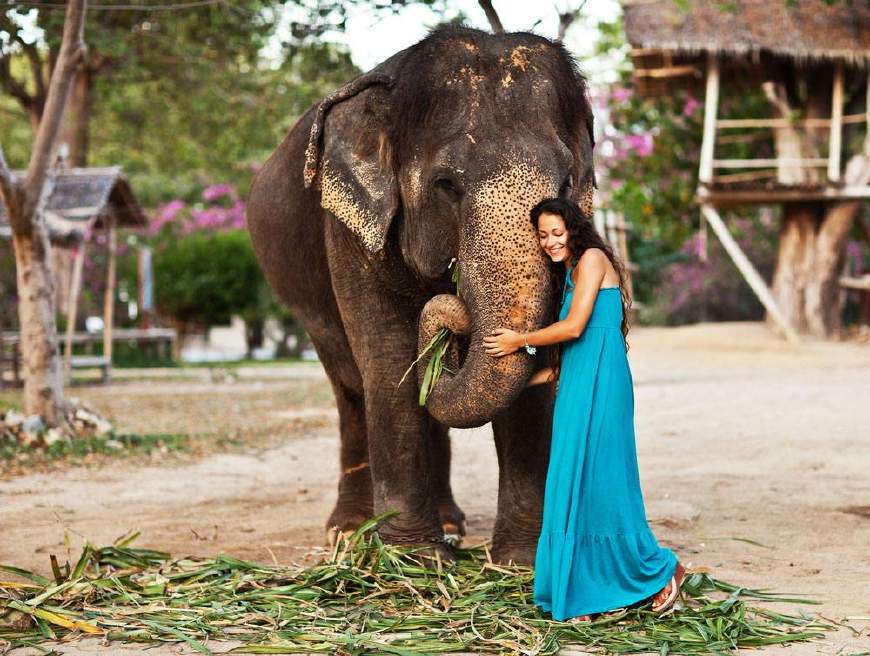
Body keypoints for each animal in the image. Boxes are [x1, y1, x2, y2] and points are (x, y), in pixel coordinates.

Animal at [246, 25, 595, 564]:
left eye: (565, 182)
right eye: (446, 184)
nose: (454, 313)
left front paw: (519, 563)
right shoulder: (348, 227)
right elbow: (389, 359)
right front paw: (412, 559)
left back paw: (450, 524)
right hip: (306, 305)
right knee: (351, 390)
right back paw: (349, 531)